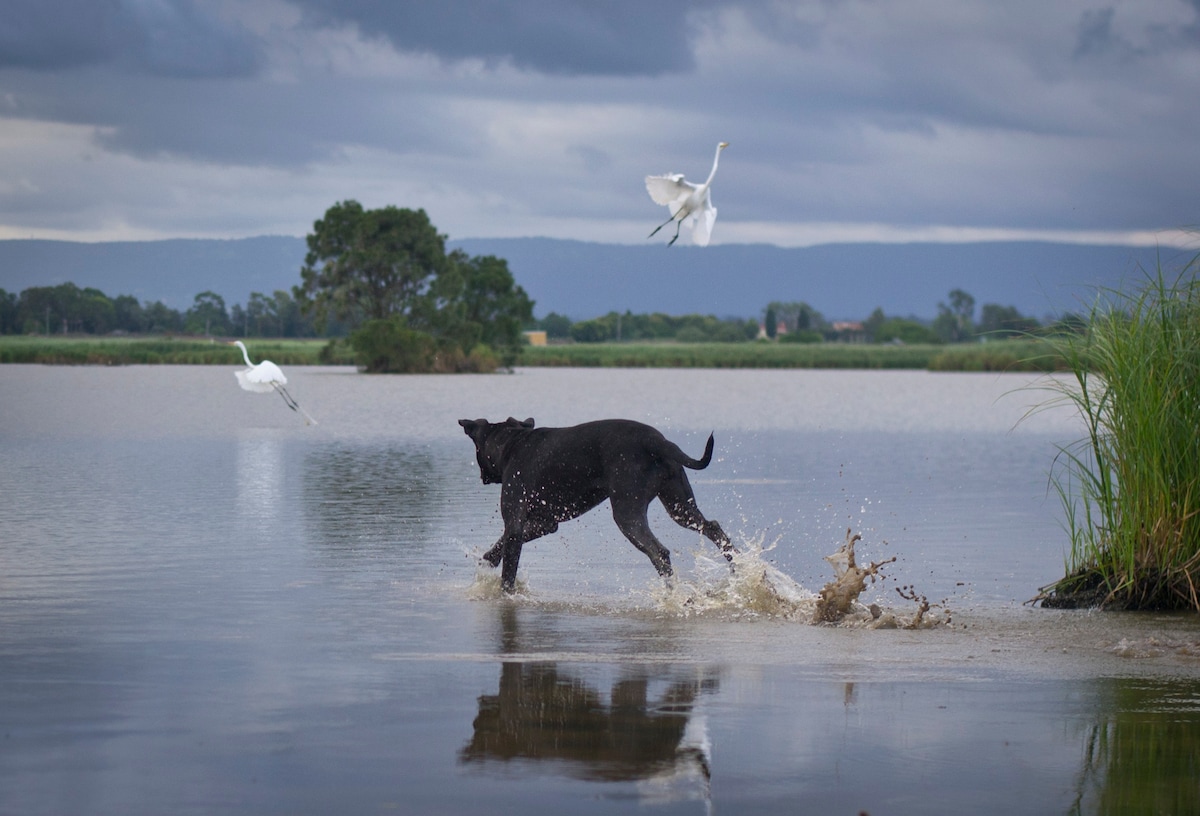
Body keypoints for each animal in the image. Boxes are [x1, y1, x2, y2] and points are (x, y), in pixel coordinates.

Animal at [458, 417, 734, 590]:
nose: (482, 476)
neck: (512, 443)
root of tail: (658, 442)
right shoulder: (546, 523)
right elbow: (500, 545)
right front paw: (488, 561)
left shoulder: (515, 521)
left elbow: (509, 567)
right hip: (680, 506)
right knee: (713, 528)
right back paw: (741, 570)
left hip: (627, 511)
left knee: (660, 552)